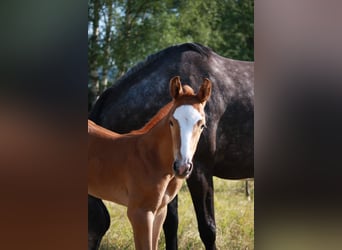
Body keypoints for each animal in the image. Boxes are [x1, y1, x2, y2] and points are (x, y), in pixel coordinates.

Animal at [88, 76, 211, 250]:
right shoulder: (139, 213)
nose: (182, 167)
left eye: (202, 125)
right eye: (172, 122)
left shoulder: (159, 212)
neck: (151, 158)